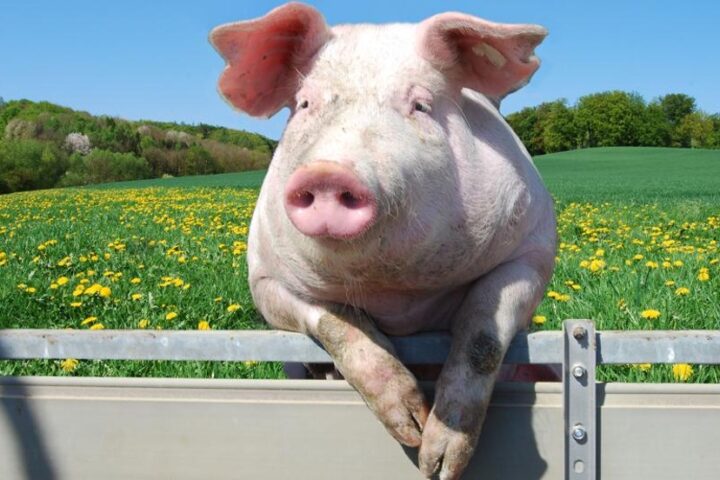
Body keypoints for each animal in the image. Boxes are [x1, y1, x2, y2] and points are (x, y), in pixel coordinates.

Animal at [210, 3, 556, 479]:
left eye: (420, 105)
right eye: (304, 104)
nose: (328, 172)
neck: (396, 292)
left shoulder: (534, 247)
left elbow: (482, 335)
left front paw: (438, 463)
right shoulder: (264, 278)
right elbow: (337, 324)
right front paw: (411, 429)